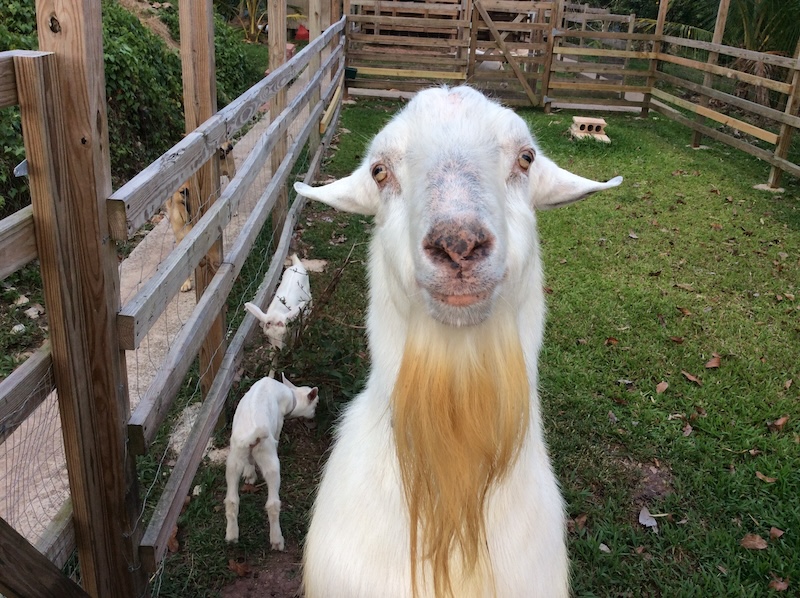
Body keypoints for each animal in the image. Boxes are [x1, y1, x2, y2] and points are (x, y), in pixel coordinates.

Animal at [225, 376, 318, 552]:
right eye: (316, 404)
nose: (314, 415)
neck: (292, 396)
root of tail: (251, 437)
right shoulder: (279, 422)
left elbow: (250, 463)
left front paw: (249, 475)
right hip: (269, 458)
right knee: (273, 504)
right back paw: (277, 540)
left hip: (234, 458)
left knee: (231, 500)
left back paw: (232, 536)